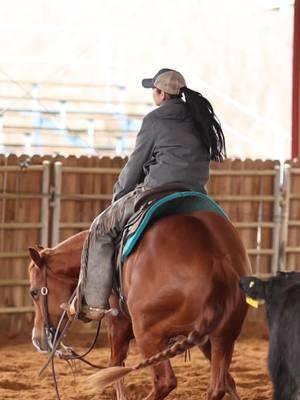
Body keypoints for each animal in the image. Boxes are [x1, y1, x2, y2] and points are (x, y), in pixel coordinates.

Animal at [29, 211, 252, 398]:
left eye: (33, 292)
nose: (37, 339)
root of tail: (218, 264)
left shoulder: (117, 324)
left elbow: (115, 366)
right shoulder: (207, 338)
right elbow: (229, 381)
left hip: (148, 335)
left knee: (164, 381)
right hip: (221, 336)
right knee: (218, 386)